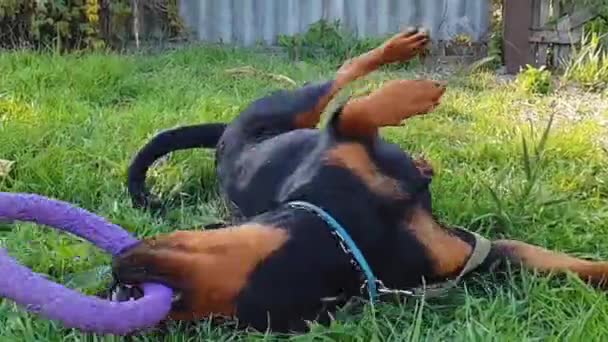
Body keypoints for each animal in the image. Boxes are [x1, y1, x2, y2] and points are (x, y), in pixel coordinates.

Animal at [114, 28, 608, 332]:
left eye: (127, 292)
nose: (116, 276)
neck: (348, 235)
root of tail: (223, 139)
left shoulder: (343, 143)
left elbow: (355, 111)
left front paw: (412, 93)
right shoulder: (472, 254)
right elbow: (352, 113)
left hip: (288, 110)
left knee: (339, 78)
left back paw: (402, 52)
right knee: (337, 82)